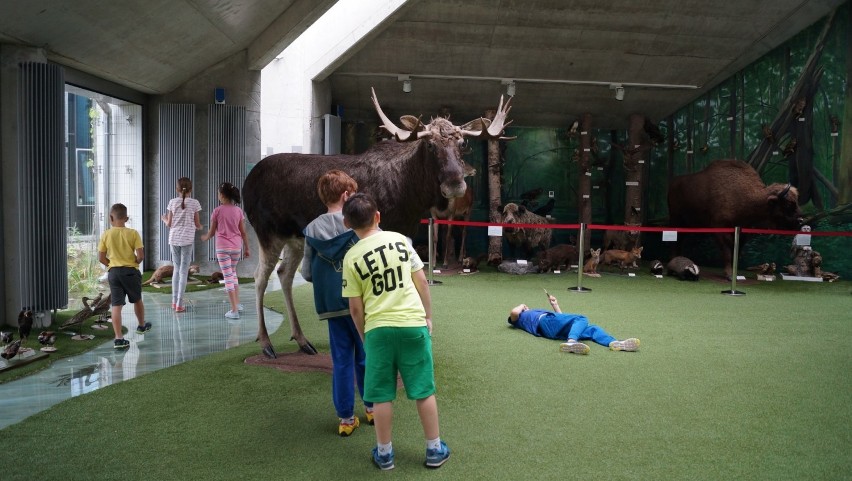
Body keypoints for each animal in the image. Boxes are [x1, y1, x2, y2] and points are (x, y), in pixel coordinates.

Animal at [243, 88, 516, 356]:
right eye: (429, 144)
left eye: (462, 142)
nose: (455, 184)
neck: (411, 194)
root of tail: (247, 182)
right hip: (267, 231)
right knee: (259, 276)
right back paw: (265, 342)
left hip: (295, 238)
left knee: (284, 273)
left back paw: (301, 339)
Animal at [668, 159, 804, 278]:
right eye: (788, 204)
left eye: (797, 202)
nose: (801, 221)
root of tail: (673, 181)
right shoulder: (719, 229)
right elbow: (728, 251)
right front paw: (729, 274)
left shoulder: (742, 232)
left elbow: (737, 251)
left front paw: (735, 274)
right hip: (675, 219)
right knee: (676, 239)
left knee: (680, 239)